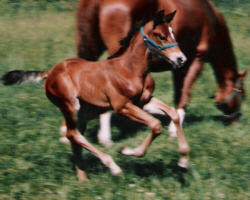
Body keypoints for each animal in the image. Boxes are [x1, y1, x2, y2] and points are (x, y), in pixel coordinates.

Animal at [2, 11, 189, 182]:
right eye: (161, 36)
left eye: (173, 33)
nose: (181, 59)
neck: (130, 69)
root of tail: (49, 73)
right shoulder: (122, 106)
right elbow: (155, 124)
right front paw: (128, 151)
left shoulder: (143, 102)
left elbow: (173, 113)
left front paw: (183, 161)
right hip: (70, 106)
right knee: (73, 134)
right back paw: (113, 167)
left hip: (84, 113)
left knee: (74, 137)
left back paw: (83, 179)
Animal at [74, 0, 246, 147]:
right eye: (242, 95)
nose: (237, 123)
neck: (211, 19)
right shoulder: (197, 59)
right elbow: (185, 95)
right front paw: (174, 130)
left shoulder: (180, 65)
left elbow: (178, 94)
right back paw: (105, 138)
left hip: (92, 48)